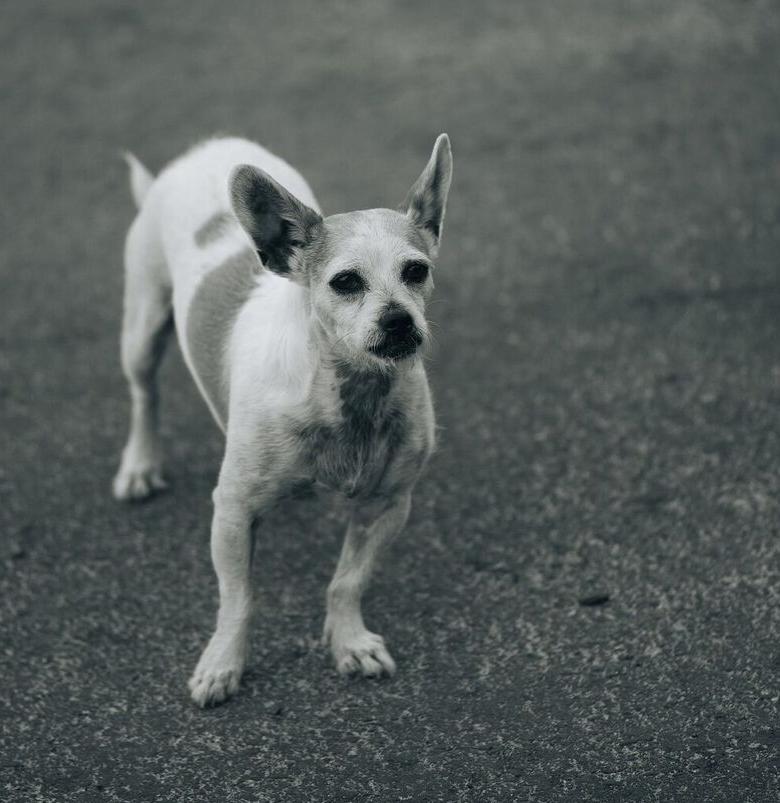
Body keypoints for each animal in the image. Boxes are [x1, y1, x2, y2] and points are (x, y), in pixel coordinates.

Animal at [110, 135, 450, 708]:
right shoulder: (233, 513)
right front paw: (223, 663)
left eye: (416, 271)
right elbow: (238, 598)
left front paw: (349, 641)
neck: (347, 393)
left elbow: (347, 582)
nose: (399, 320)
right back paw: (139, 465)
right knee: (143, 395)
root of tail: (203, 149)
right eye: (345, 282)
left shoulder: (387, 507)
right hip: (143, 327)